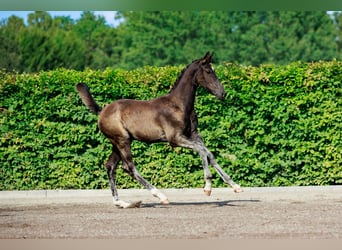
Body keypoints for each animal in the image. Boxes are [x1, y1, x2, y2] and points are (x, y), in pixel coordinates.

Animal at [77, 51, 243, 208]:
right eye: (208, 71)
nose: (222, 93)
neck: (179, 105)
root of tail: (101, 112)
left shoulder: (194, 135)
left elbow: (209, 154)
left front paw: (235, 185)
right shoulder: (175, 139)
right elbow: (202, 151)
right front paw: (208, 187)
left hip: (118, 143)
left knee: (110, 167)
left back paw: (122, 203)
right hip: (122, 141)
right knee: (128, 167)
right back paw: (160, 196)